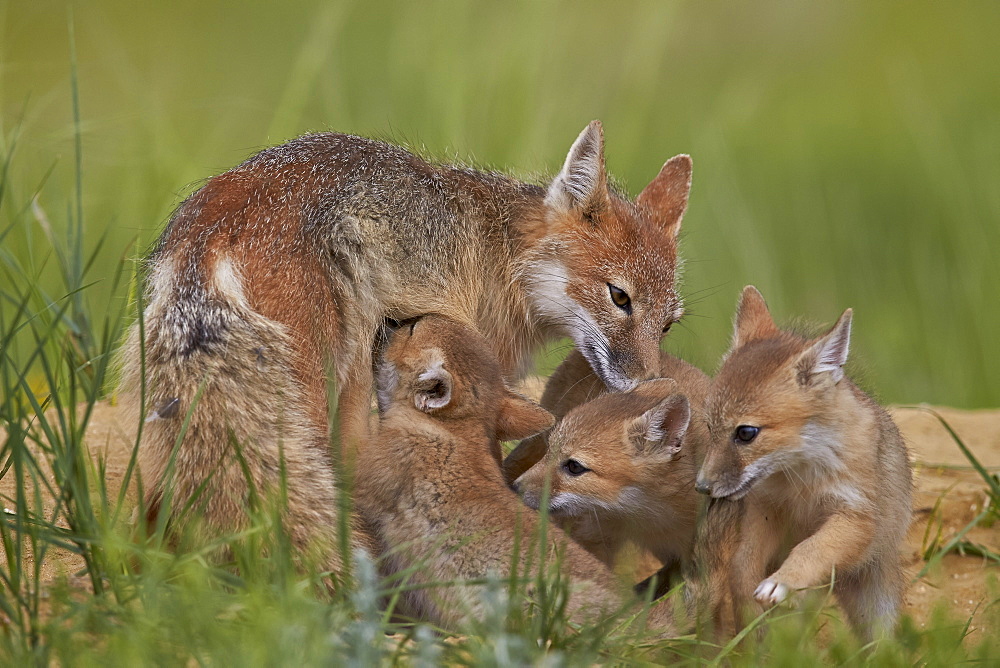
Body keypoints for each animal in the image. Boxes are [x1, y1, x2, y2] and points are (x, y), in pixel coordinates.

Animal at [119, 122, 688, 572]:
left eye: (668, 325)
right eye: (619, 297)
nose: (648, 387)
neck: (502, 249)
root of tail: (215, 225)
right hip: (329, 387)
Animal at [692, 284, 912, 640]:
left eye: (746, 433)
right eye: (709, 428)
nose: (702, 486)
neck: (801, 480)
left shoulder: (855, 517)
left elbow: (812, 548)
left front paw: (784, 581)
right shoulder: (765, 509)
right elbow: (741, 565)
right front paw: (751, 610)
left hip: (875, 603)